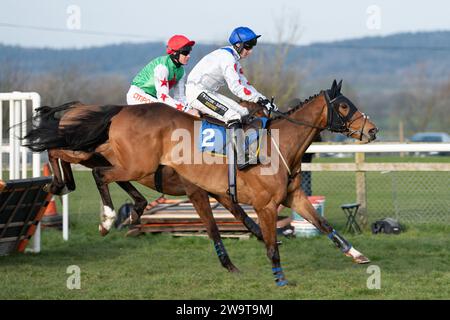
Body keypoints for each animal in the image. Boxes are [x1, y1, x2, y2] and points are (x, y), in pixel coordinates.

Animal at [24, 80, 378, 284]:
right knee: (91, 168)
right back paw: (104, 215)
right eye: (344, 105)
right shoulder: (259, 204)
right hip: (131, 162)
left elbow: (324, 225)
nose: (372, 130)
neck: (279, 144)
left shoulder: (291, 198)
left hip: (122, 159)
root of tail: (119, 112)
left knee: (78, 158)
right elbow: (265, 243)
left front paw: (357, 254)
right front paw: (278, 279)